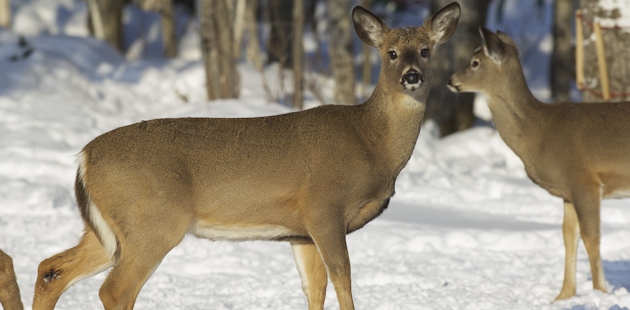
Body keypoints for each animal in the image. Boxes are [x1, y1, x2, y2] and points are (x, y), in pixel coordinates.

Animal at [32, 3, 462, 310]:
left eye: (425, 51)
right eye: (391, 53)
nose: (412, 76)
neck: (371, 142)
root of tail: (85, 157)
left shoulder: (300, 232)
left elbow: (314, 290)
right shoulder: (324, 207)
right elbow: (343, 281)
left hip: (107, 230)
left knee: (50, 268)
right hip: (153, 220)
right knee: (114, 291)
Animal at [446, 26, 630, 300]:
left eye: (475, 62)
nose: (451, 79)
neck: (538, 131)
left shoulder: (584, 180)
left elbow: (591, 237)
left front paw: (600, 292)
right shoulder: (567, 192)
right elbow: (568, 236)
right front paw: (563, 296)